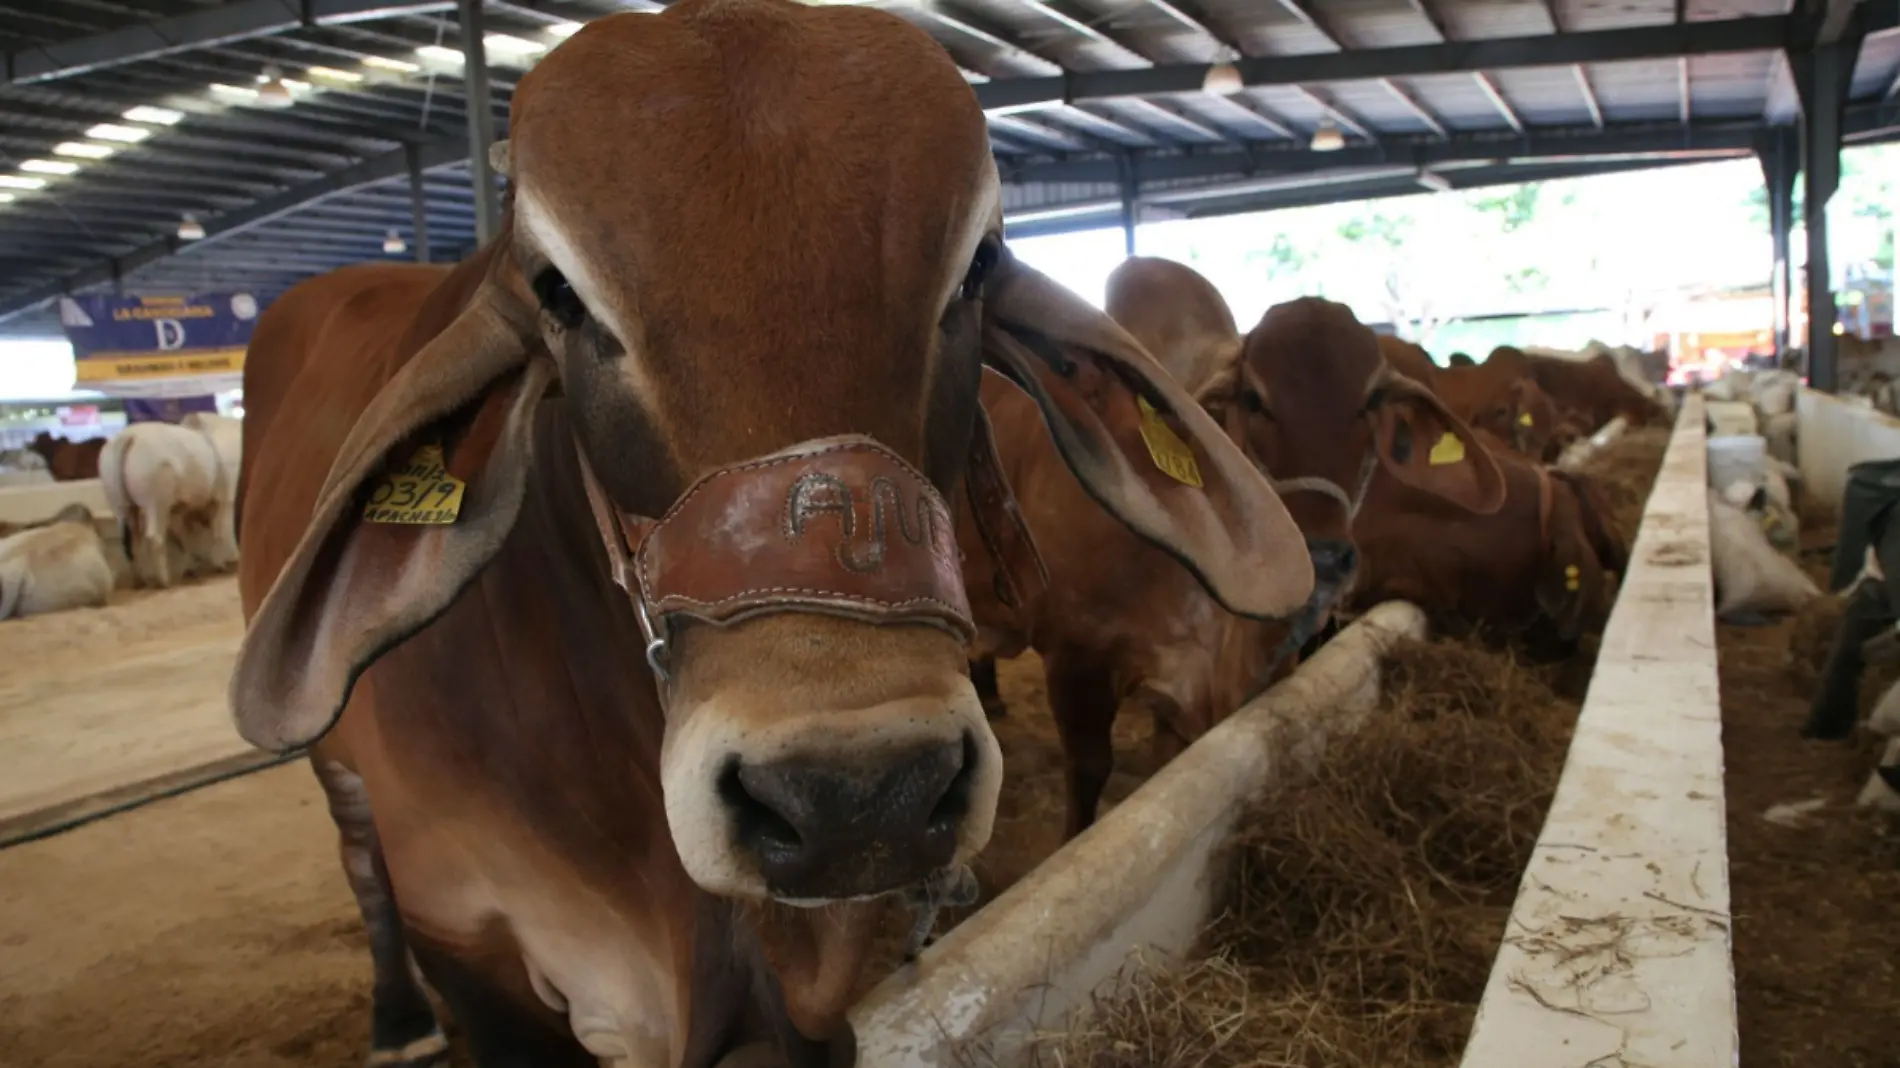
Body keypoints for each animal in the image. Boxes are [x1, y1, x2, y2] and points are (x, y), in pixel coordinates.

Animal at [96, 419, 235, 585]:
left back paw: (140, 580)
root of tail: (129, 436)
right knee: (154, 537)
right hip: (156, 500)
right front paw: (219, 565)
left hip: (120, 503)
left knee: (133, 538)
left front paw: (191, 568)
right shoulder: (220, 500)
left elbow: (183, 538)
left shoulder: (179, 509)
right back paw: (164, 581)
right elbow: (218, 533)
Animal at [229, 8, 1314, 1064]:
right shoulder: (470, 943)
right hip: (342, 781)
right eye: (558, 293)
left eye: (977, 269)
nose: (856, 795)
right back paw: (394, 1018)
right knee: (358, 858)